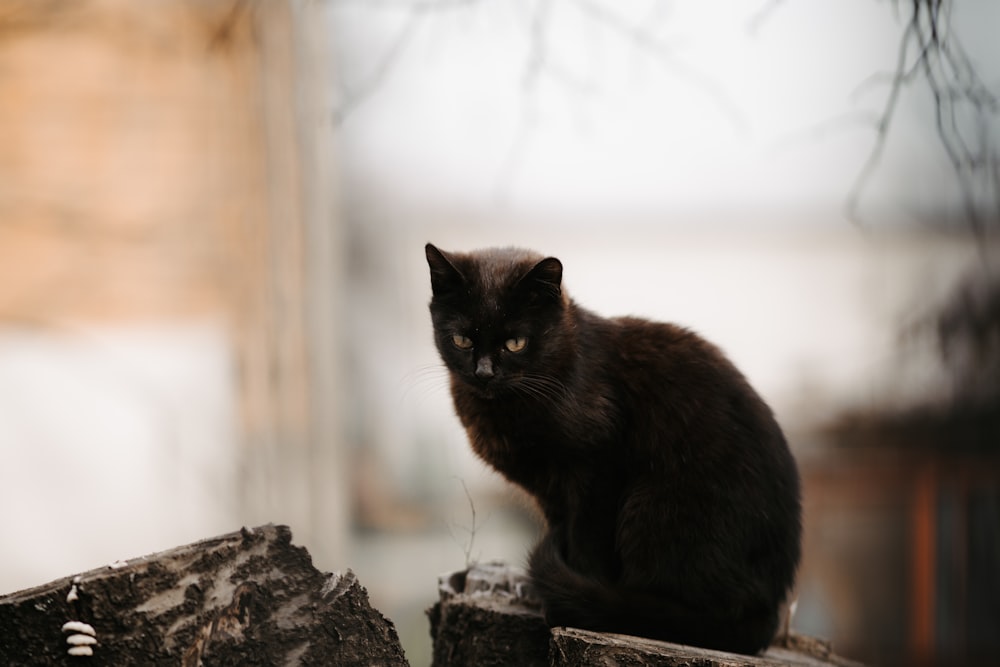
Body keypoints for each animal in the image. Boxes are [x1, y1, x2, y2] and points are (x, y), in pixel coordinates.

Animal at [426, 243, 800, 656]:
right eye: (462, 340)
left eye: (515, 343)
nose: (484, 373)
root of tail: (767, 613)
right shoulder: (552, 495)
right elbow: (566, 531)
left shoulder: (598, 468)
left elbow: (587, 538)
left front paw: (566, 603)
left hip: (651, 506)